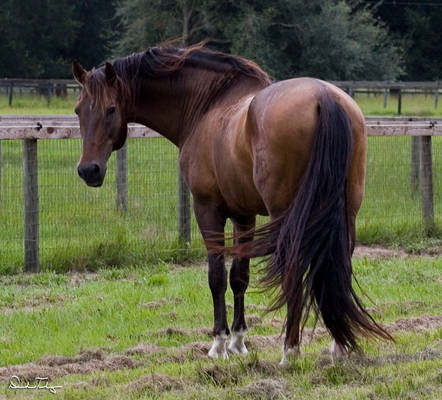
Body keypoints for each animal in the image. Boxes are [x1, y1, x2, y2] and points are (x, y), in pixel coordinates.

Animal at [71, 45, 392, 364]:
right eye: (78, 110)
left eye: (111, 109)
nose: (88, 170)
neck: (206, 106)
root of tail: (324, 97)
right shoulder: (243, 215)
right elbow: (239, 276)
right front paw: (238, 341)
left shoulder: (207, 210)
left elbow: (216, 276)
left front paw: (219, 343)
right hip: (346, 213)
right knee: (338, 264)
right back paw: (338, 346)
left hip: (287, 215)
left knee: (293, 268)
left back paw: (290, 351)